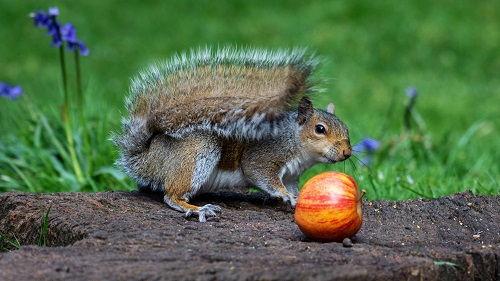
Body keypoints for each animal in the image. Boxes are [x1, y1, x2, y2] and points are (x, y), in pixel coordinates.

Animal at [114, 46, 352, 221]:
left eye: (346, 128)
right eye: (320, 129)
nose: (347, 152)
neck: (295, 142)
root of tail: (147, 157)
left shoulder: (292, 176)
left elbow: (293, 188)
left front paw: (294, 197)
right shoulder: (265, 155)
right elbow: (259, 173)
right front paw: (284, 195)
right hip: (196, 152)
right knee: (171, 195)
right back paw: (198, 209)